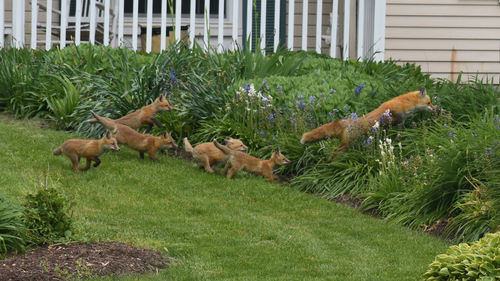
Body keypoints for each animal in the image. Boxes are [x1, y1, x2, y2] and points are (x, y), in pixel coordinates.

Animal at [298, 87, 436, 160]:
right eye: (429, 103)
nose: (435, 109)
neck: (404, 104)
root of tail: (347, 121)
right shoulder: (394, 117)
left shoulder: (399, 122)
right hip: (348, 143)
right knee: (335, 151)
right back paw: (331, 163)